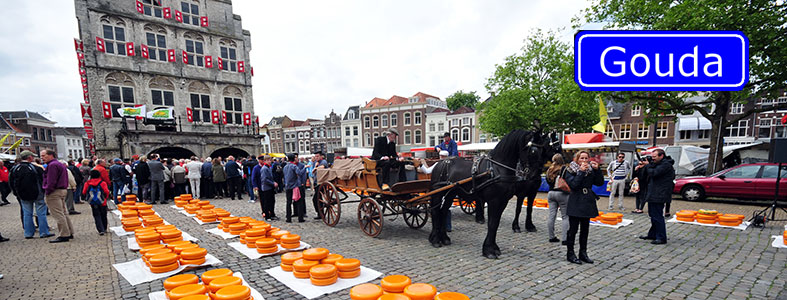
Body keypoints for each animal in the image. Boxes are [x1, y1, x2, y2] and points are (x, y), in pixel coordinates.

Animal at [430, 130, 556, 258]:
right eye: (533, 150)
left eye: (542, 150)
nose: (534, 174)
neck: (497, 169)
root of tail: (439, 163)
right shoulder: (494, 201)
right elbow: (492, 223)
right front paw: (489, 250)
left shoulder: (503, 201)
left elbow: (496, 223)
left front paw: (493, 247)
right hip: (438, 194)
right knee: (435, 212)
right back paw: (435, 240)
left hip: (450, 194)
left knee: (443, 211)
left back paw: (444, 238)